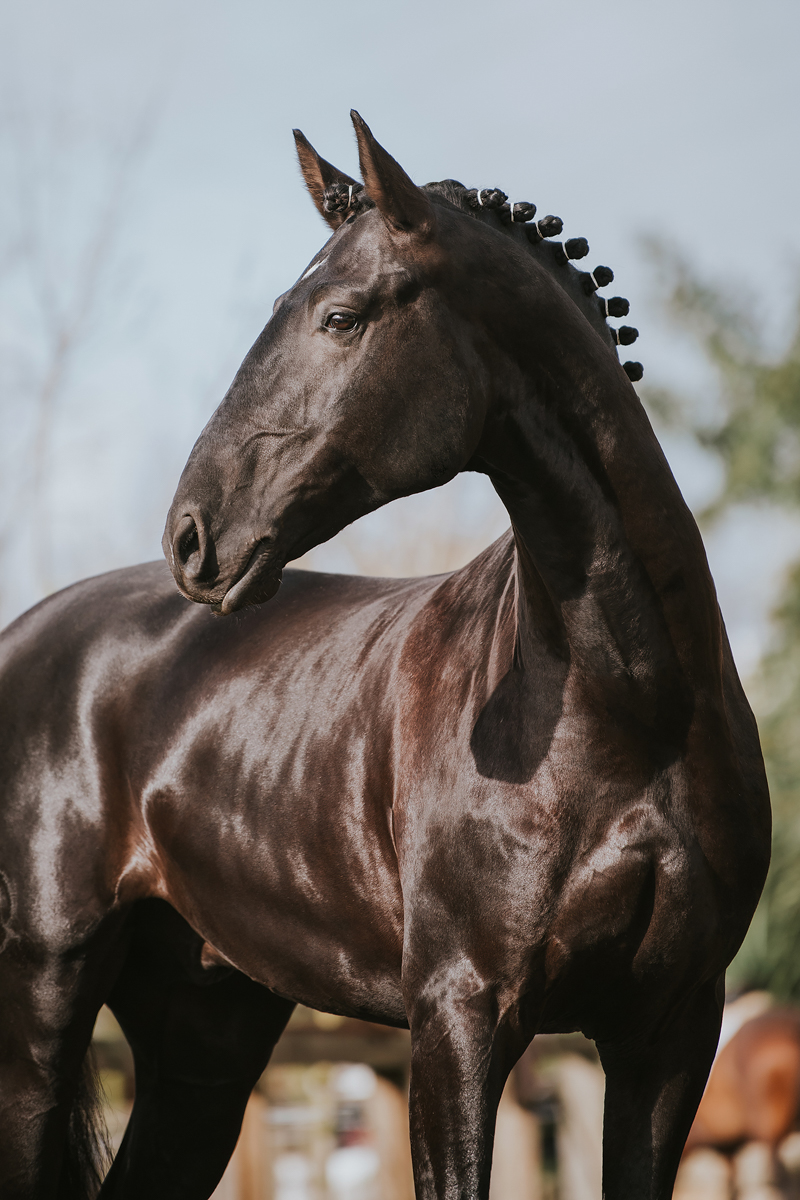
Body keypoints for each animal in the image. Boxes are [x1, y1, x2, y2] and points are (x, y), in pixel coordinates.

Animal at [0, 111, 771, 1200]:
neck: (623, 710)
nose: (192, 535)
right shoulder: (457, 1015)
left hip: (204, 1044)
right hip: (42, 997)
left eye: (340, 316)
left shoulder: (668, 1031)